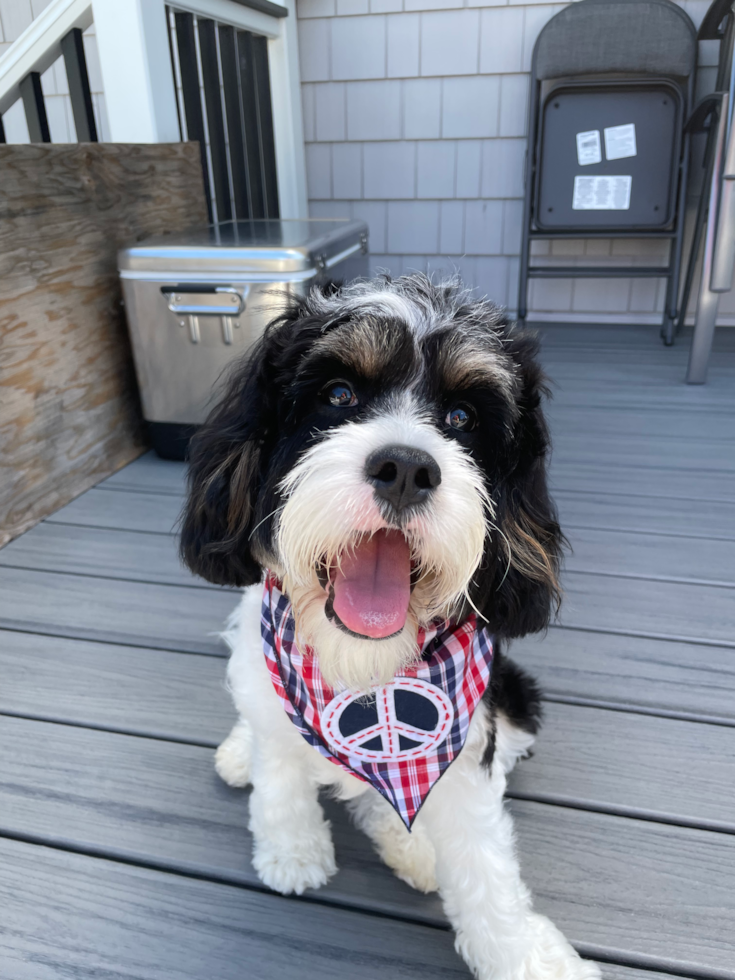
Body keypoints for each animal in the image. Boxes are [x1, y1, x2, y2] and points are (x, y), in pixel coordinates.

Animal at [181, 270, 600, 980]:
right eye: (339, 394)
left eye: (462, 418)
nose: (405, 467)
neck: (362, 672)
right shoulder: (274, 695)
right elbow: (281, 777)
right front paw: (292, 851)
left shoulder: (466, 751)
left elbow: (486, 866)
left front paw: (526, 955)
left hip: (516, 698)